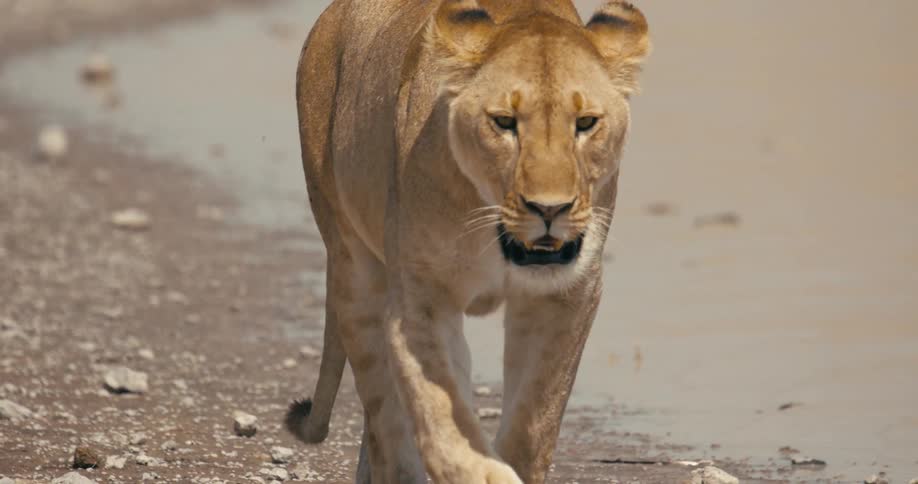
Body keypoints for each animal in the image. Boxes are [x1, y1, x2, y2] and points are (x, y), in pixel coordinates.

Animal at [285, 1, 650, 482]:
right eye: (504, 123)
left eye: (586, 123)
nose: (549, 209)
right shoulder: (420, 299)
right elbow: (443, 421)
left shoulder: (567, 296)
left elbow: (534, 420)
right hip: (353, 267)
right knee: (384, 418)